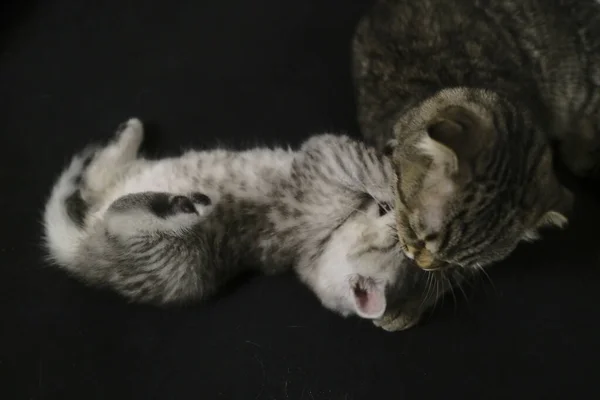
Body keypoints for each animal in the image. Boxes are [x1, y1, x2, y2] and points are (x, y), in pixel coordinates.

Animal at [44, 116, 442, 328]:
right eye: (400, 245)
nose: (415, 240)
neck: (318, 245)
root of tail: (86, 258)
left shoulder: (325, 158)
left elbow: (372, 168)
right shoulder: (329, 155)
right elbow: (376, 164)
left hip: (178, 265)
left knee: (114, 209)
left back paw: (178, 204)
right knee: (97, 181)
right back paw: (131, 135)